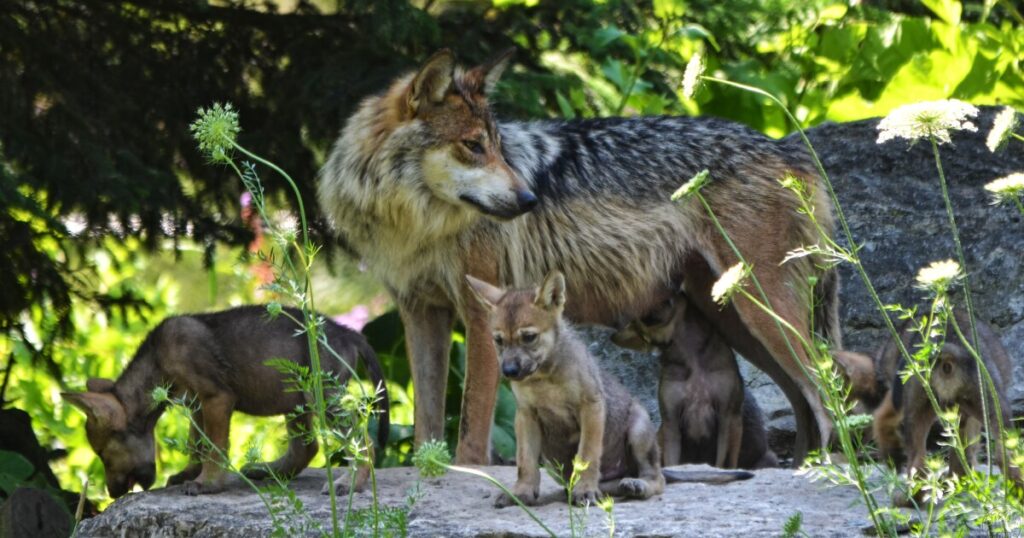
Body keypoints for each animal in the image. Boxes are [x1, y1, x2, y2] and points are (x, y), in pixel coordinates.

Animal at [63, 306, 389, 498]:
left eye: (103, 454)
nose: (112, 494)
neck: (156, 361)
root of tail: (349, 333)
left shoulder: (216, 398)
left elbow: (214, 447)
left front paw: (206, 483)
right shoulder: (196, 403)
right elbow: (196, 443)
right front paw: (189, 474)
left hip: (322, 396)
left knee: (364, 442)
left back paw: (351, 483)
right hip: (296, 399)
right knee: (306, 447)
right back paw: (270, 472)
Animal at [467, 271, 752, 507]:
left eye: (529, 337)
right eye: (498, 340)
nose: (509, 371)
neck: (545, 379)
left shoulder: (591, 406)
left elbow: (587, 456)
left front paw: (584, 490)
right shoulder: (526, 415)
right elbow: (525, 462)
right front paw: (522, 492)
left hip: (640, 429)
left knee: (657, 479)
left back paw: (635, 486)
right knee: (612, 485)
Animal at [612, 293, 777, 469]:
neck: (688, 350)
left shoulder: (726, 417)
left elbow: (722, 462)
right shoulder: (671, 423)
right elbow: (672, 463)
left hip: (769, 457)